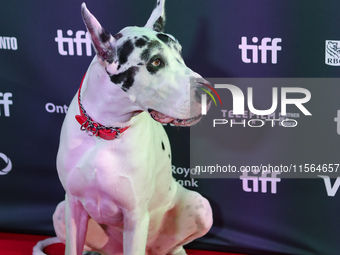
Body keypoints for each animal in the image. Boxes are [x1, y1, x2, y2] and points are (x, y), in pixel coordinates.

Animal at [35, 0, 214, 255]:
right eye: (156, 61)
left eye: (179, 54)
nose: (209, 92)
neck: (102, 131)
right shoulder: (74, 206)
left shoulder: (135, 216)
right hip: (60, 212)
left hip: (201, 207)